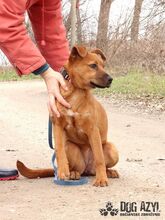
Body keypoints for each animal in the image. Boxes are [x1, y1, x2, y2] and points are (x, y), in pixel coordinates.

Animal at [17, 45, 118, 186]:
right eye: (93, 65)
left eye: (103, 66)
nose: (111, 80)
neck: (76, 92)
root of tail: (88, 169)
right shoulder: (57, 126)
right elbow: (59, 150)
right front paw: (62, 171)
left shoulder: (93, 130)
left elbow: (99, 159)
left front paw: (101, 179)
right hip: (70, 147)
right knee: (76, 168)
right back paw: (73, 173)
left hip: (112, 149)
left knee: (99, 164)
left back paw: (109, 172)